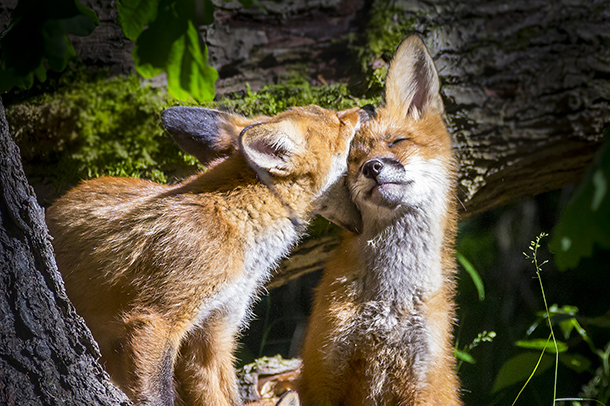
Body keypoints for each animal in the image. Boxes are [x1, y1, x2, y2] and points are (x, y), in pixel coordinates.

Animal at [46, 104, 366, 406]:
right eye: (340, 122)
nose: (366, 109)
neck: (237, 223)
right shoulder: (156, 320)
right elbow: (158, 395)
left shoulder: (213, 334)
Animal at [296, 35, 458, 406]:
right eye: (352, 162)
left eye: (397, 141)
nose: (372, 168)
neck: (389, 304)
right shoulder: (322, 371)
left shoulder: (422, 381)